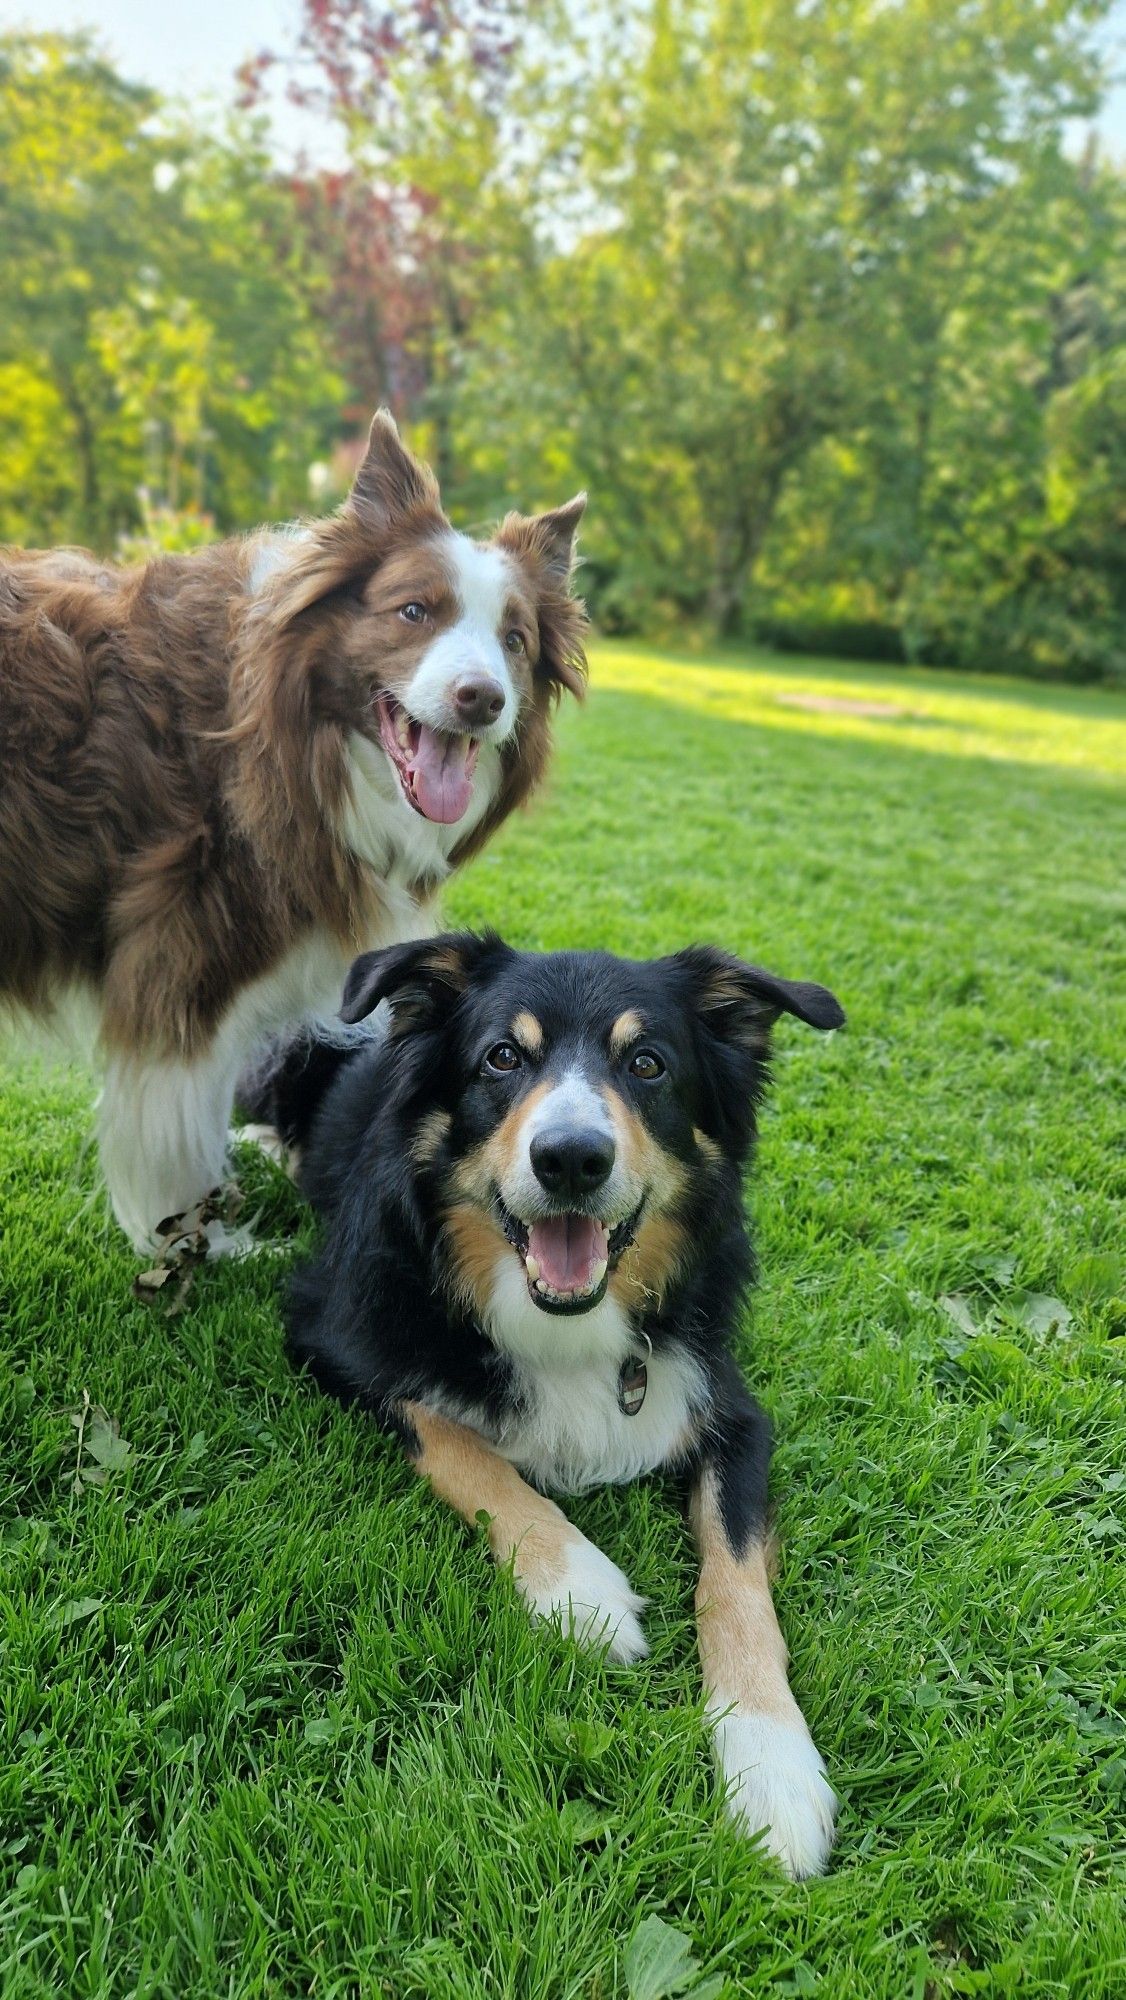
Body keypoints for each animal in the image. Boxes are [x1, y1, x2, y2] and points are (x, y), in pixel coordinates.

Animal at [2, 414, 592, 1240]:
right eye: (414, 611)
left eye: (515, 640)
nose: (481, 698)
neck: (263, 724)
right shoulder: (183, 959)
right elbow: (175, 1128)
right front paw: (198, 1240)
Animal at [245, 932, 848, 1872]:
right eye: (502, 1056)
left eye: (647, 1063)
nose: (570, 1158)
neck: (566, 1322)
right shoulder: (333, 1333)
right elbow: (460, 1444)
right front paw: (582, 1590)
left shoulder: (731, 1408)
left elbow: (738, 1582)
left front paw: (771, 1764)